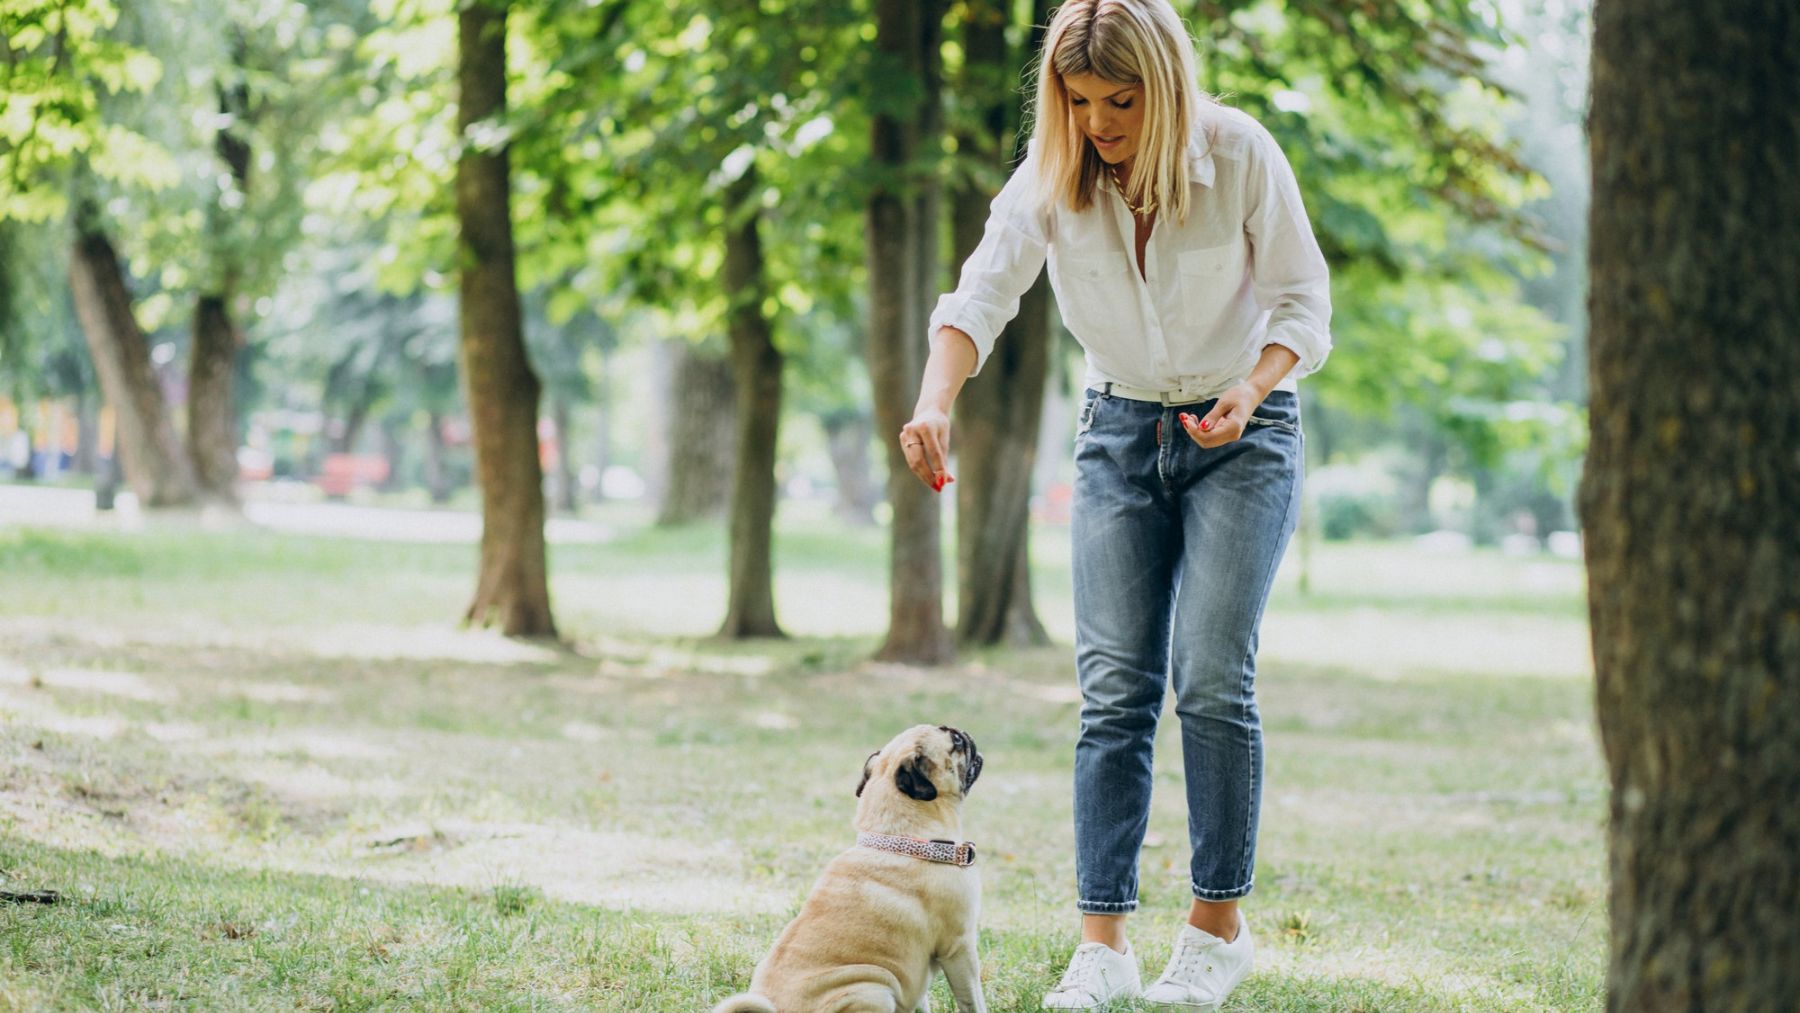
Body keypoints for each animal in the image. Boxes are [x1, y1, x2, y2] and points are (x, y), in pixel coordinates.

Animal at [709, 726, 986, 1007]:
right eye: (956, 741)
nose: (965, 733)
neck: (904, 839)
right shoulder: (959, 947)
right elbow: (973, 1000)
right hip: (874, 989)